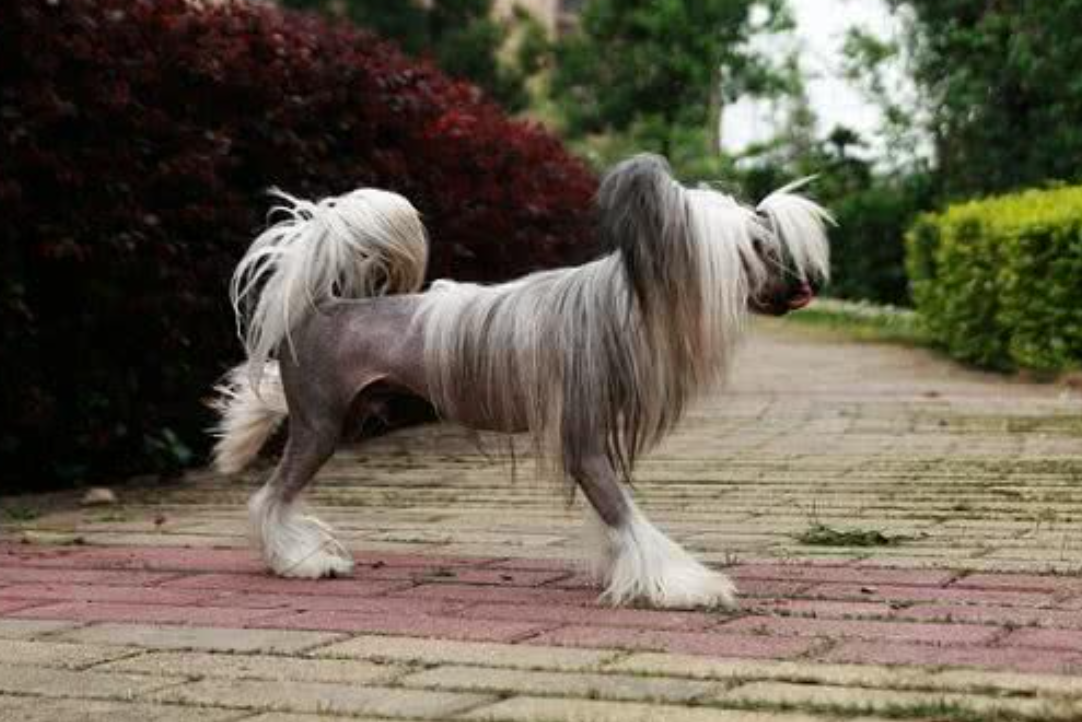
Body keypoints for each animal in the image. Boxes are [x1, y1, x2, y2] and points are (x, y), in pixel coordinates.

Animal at [211, 154, 831, 609]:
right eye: (755, 252)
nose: (805, 287)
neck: (625, 303)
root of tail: (321, 304)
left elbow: (614, 519)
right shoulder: (582, 443)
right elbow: (627, 517)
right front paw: (684, 586)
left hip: (347, 416)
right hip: (321, 425)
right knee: (271, 498)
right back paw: (301, 561)